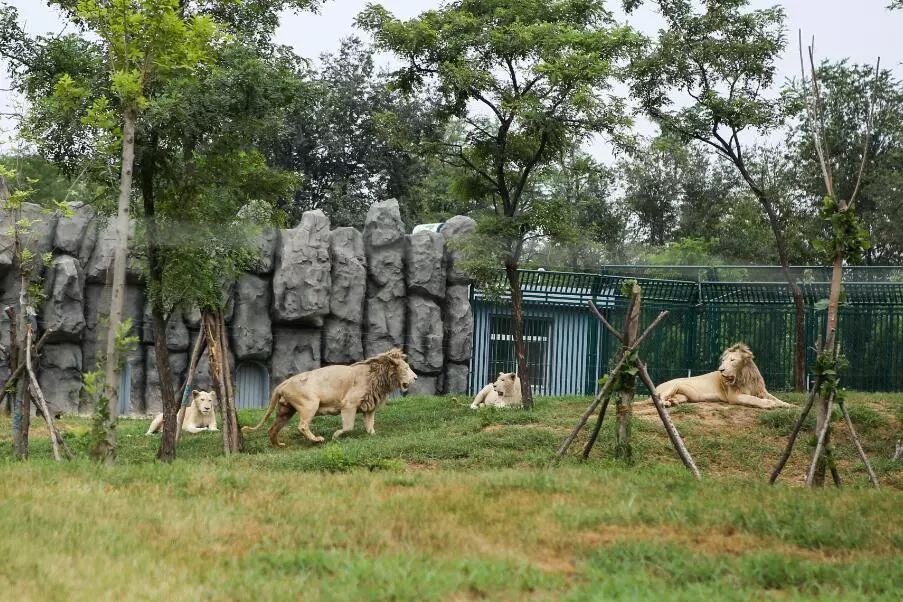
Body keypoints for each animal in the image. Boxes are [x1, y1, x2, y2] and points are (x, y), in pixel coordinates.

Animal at [245, 346, 418, 446]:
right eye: (406, 368)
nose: (416, 378)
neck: (378, 377)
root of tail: (282, 384)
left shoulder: (369, 407)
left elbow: (370, 425)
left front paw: (374, 436)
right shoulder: (348, 404)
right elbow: (348, 426)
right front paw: (336, 436)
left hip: (285, 410)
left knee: (272, 429)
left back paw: (278, 445)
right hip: (310, 404)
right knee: (302, 426)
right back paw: (317, 439)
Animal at [636, 342, 792, 408]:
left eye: (732, 360)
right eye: (723, 360)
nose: (721, 370)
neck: (744, 377)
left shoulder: (761, 391)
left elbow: (777, 398)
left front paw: (789, 405)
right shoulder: (733, 396)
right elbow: (752, 399)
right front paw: (769, 404)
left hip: (684, 396)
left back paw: (672, 402)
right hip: (672, 386)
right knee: (658, 398)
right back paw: (665, 403)